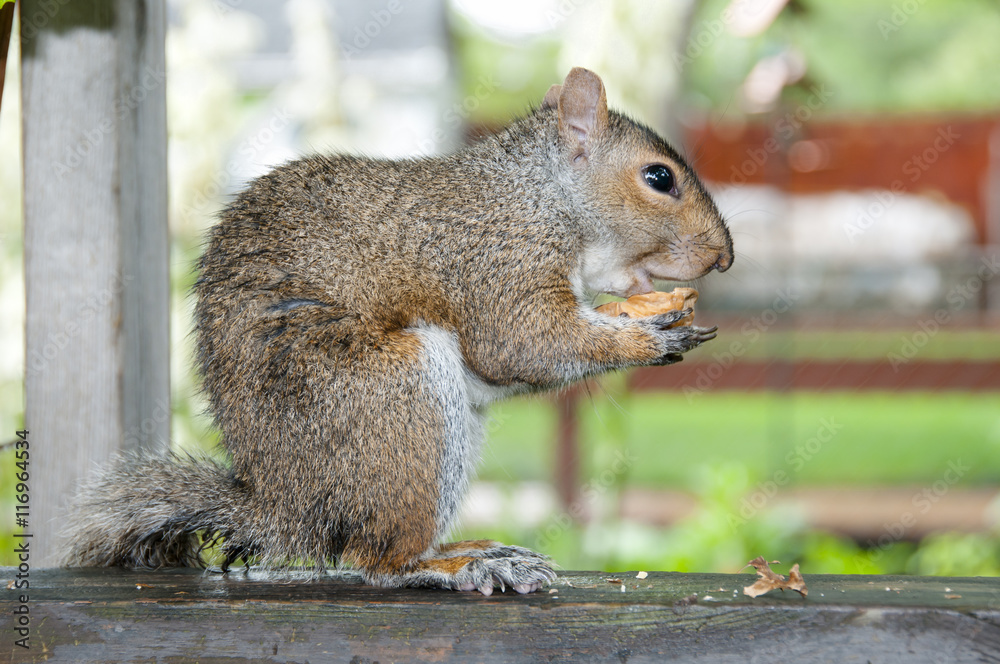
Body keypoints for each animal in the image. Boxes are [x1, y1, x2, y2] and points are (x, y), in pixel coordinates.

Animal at [62, 67, 733, 595]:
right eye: (659, 178)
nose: (723, 258)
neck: (539, 196)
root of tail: (287, 505)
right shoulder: (496, 263)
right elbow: (522, 343)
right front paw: (652, 337)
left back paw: (472, 551)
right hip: (393, 395)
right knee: (378, 560)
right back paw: (451, 567)